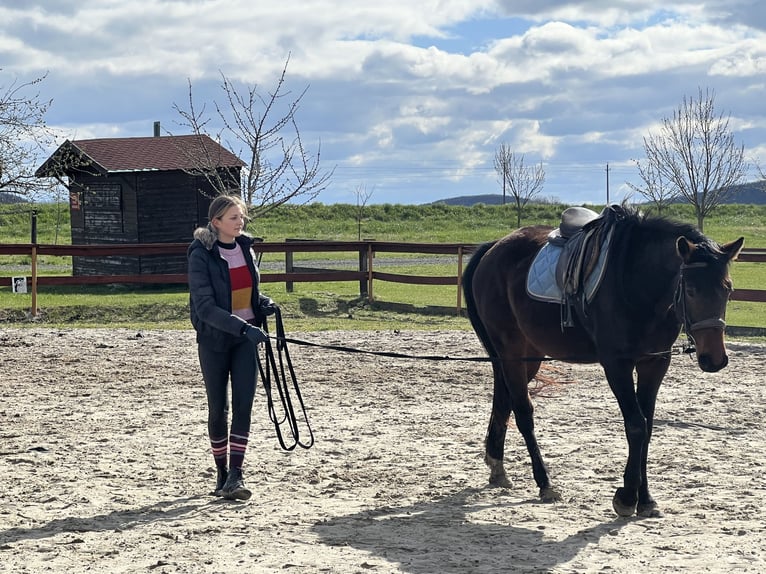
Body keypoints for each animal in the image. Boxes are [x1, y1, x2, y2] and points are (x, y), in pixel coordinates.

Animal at [462, 206, 744, 516]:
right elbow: (636, 425)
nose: (714, 358)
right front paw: (627, 497)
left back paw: (497, 467)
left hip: (526, 355)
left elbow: (648, 426)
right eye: (691, 290)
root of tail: (494, 248)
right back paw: (544, 483)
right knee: (523, 412)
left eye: (728, 289)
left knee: (504, 400)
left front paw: (645, 499)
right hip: (511, 350)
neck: (636, 280)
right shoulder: (616, 365)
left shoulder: (655, 362)